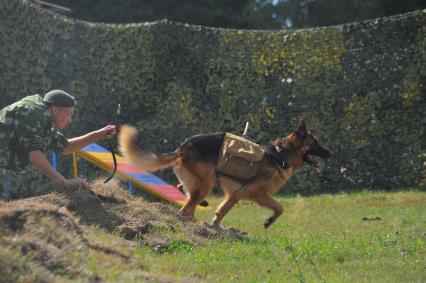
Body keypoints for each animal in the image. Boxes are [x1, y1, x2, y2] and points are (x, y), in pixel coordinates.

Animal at [118, 120, 332, 229]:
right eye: (315, 143)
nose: (330, 153)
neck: (280, 154)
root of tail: (182, 148)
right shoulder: (257, 193)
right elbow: (280, 208)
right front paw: (269, 221)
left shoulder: (235, 195)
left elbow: (222, 210)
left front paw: (215, 226)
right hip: (206, 182)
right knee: (185, 209)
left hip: (202, 182)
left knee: (185, 195)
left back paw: (197, 216)